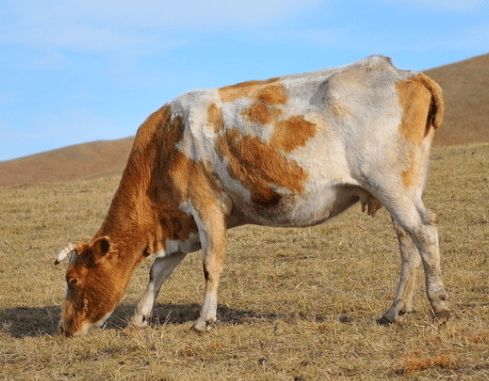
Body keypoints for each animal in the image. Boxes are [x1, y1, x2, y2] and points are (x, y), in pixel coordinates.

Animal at [53, 55, 450, 336]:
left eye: (73, 280)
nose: (64, 327)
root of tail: (404, 73)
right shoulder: (182, 224)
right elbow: (158, 271)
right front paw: (139, 317)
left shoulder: (207, 208)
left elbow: (211, 264)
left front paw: (204, 320)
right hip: (401, 189)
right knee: (408, 242)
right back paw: (395, 311)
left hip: (389, 184)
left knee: (424, 231)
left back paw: (440, 305)